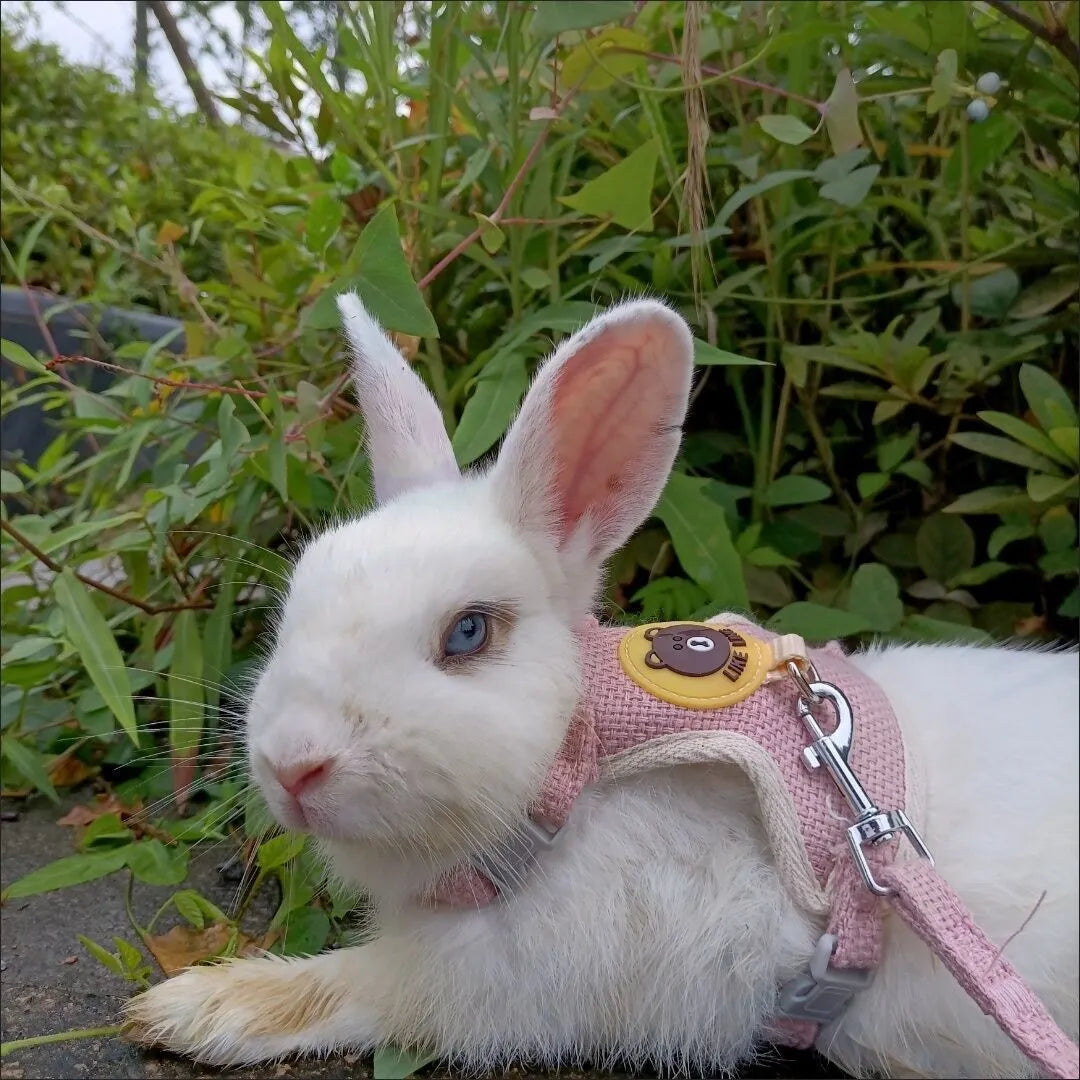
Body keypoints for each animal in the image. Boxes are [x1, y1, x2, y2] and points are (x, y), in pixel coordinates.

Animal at [128, 298, 1080, 1080]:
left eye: (469, 633)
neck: (581, 760)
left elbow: (354, 986)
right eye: (298, 599)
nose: (293, 764)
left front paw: (194, 1009)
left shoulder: (509, 979)